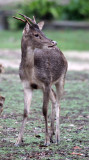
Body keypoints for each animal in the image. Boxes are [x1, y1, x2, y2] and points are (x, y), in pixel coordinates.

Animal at [13, 14, 67, 146]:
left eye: (42, 31)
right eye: (36, 34)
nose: (53, 42)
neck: (31, 73)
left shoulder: (46, 82)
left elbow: (44, 110)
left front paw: (46, 140)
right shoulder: (27, 86)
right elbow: (25, 112)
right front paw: (18, 140)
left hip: (61, 78)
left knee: (58, 102)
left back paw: (56, 137)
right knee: (54, 99)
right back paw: (52, 135)